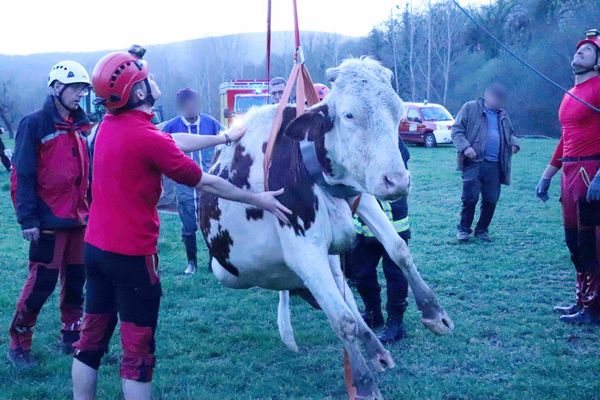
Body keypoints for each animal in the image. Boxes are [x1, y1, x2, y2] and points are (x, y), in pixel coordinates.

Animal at [199, 57, 452, 400]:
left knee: (346, 298)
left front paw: (434, 313)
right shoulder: (303, 249)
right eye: (348, 115)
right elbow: (342, 321)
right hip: (231, 272)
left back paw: (376, 350)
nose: (397, 181)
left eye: (399, 111)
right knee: (336, 303)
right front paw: (364, 384)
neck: (308, 162)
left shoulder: (362, 194)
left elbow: (398, 249)